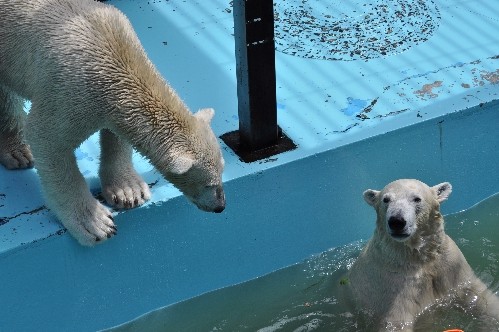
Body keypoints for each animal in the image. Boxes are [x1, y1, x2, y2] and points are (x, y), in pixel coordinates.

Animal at [0, 0, 227, 246]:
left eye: (222, 170)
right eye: (209, 184)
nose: (221, 206)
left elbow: (117, 135)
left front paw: (129, 192)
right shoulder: (69, 91)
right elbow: (47, 139)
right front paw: (95, 223)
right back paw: (18, 151)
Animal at [350, 180, 499, 330]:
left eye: (417, 199)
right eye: (386, 200)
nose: (396, 221)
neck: (418, 257)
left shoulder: (451, 265)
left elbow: (477, 294)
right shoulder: (394, 286)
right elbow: (397, 321)